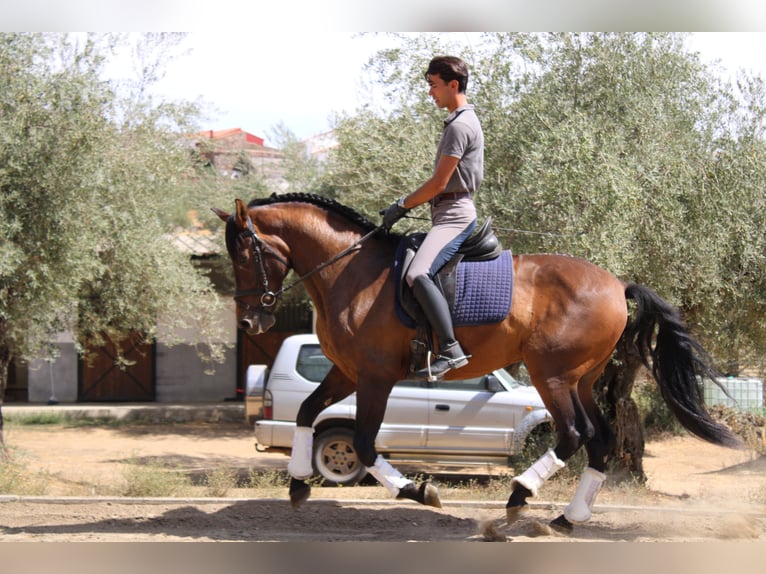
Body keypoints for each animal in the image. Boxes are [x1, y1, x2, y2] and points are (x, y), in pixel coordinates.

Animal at [213, 192, 740, 532]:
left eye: (245, 254)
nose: (252, 320)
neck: (348, 272)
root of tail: (617, 284)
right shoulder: (346, 372)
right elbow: (306, 412)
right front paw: (298, 485)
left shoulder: (375, 377)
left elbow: (363, 444)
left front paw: (418, 492)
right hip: (581, 379)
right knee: (600, 439)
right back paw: (568, 518)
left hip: (551, 375)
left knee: (574, 434)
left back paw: (519, 497)